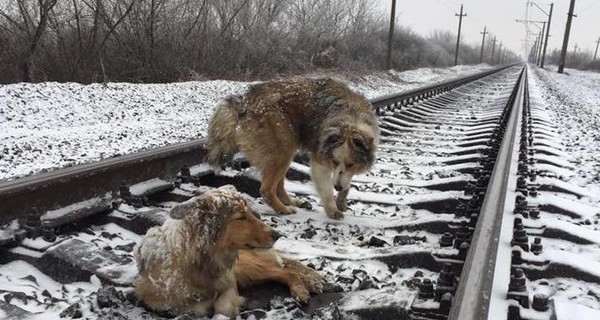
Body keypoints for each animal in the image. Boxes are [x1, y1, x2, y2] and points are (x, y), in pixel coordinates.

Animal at [135, 185, 324, 318]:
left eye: (250, 213)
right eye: (241, 217)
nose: (278, 235)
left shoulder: (229, 280)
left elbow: (222, 307)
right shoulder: (156, 300)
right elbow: (194, 307)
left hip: (247, 267)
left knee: (286, 271)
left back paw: (302, 289)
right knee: (285, 269)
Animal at [204, 77, 378, 219]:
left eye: (351, 164)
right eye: (334, 162)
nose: (338, 186)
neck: (350, 118)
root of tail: (244, 100)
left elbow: (347, 182)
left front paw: (341, 199)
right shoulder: (320, 159)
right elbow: (327, 190)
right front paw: (332, 209)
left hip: (285, 149)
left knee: (279, 185)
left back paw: (293, 202)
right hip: (282, 149)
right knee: (267, 189)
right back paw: (283, 209)